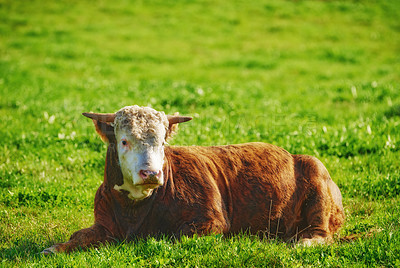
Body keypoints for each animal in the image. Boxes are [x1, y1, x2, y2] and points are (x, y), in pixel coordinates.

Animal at [42, 104, 346, 253]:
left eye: (162, 142)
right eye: (124, 141)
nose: (151, 173)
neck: (135, 211)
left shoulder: (211, 221)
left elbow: (174, 237)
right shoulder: (103, 224)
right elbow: (78, 237)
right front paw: (55, 248)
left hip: (317, 177)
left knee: (321, 232)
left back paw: (302, 242)